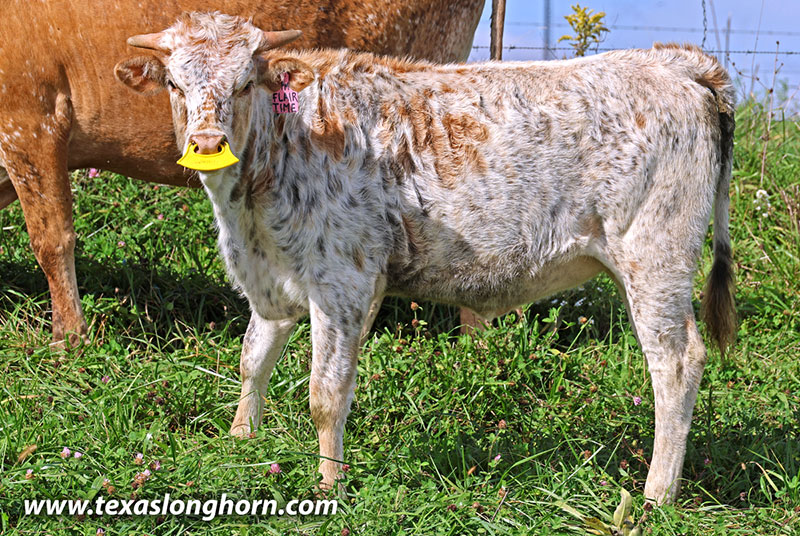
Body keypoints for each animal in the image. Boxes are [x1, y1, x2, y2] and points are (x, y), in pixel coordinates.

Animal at [114, 12, 736, 504]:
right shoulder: (273, 283)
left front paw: (329, 485)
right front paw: (241, 441)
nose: (207, 143)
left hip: (655, 258)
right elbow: (252, 360)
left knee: (676, 364)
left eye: (244, 84)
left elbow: (326, 393)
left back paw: (656, 495)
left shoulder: (342, 283)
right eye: (175, 84)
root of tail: (673, 62)